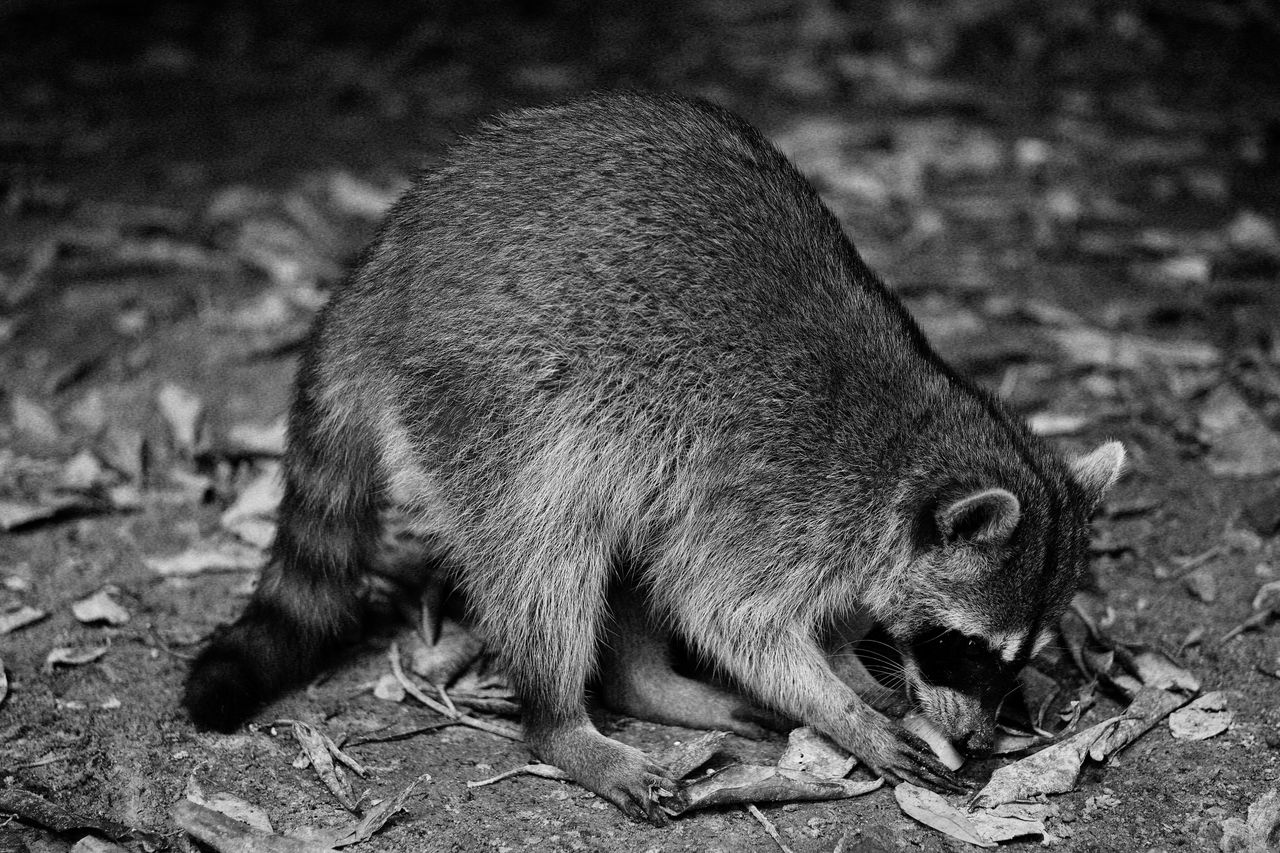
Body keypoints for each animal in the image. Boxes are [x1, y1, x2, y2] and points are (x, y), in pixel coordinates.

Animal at [183, 92, 1124, 823]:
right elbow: (731, 615)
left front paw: (859, 668)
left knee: (633, 532)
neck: (913, 448)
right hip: (500, 402)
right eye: (967, 647)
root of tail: (380, 269)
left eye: (1014, 658)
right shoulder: (784, 498)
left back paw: (648, 683)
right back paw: (565, 721)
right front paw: (848, 706)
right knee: (548, 547)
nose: (979, 737)